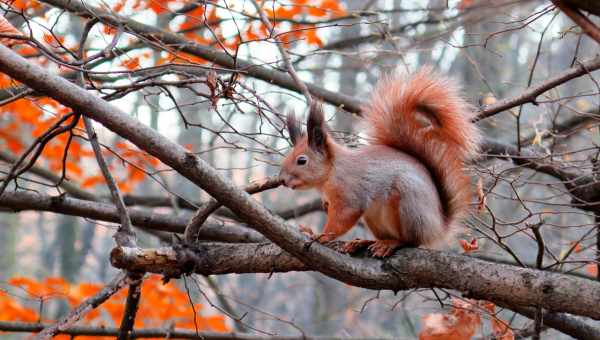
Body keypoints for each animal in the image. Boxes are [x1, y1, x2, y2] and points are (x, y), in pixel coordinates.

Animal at [278, 67, 480, 258]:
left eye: (302, 160)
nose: (282, 180)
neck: (331, 172)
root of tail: (438, 227)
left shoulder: (350, 193)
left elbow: (343, 217)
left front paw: (321, 236)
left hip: (408, 206)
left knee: (411, 241)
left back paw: (391, 244)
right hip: (374, 219)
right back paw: (365, 242)